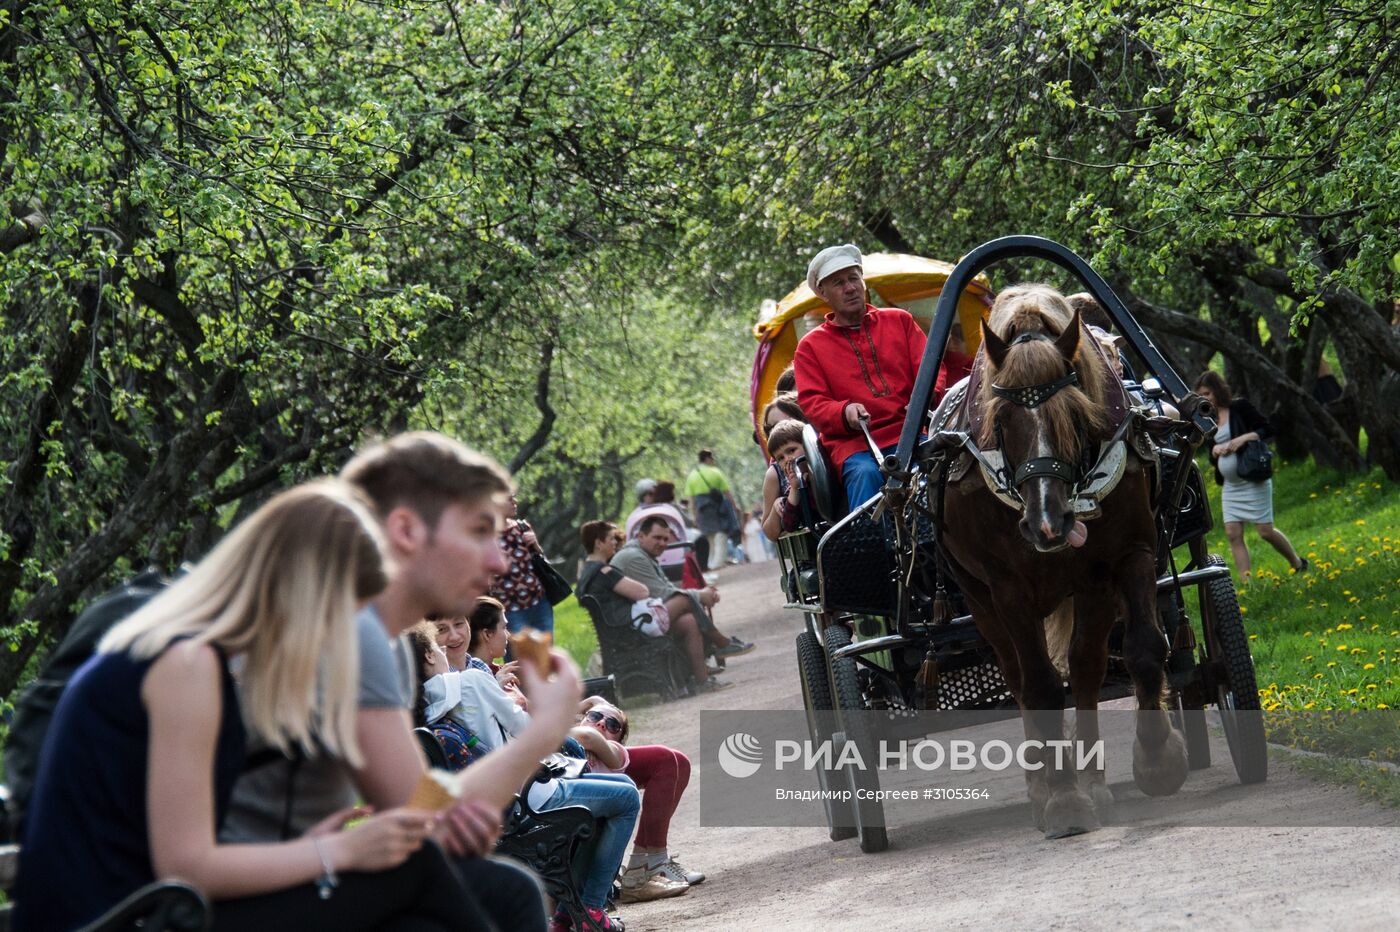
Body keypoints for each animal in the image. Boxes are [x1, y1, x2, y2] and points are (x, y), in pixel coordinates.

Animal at [940, 282, 1181, 834]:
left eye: (1073, 413)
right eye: (1001, 420)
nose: (1048, 524)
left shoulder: (1122, 560)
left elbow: (1140, 650)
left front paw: (1158, 760)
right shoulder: (1008, 589)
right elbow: (1042, 688)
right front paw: (1063, 798)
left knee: (1086, 668)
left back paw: (1093, 780)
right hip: (979, 600)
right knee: (1017, 678)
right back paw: (1042, 786)